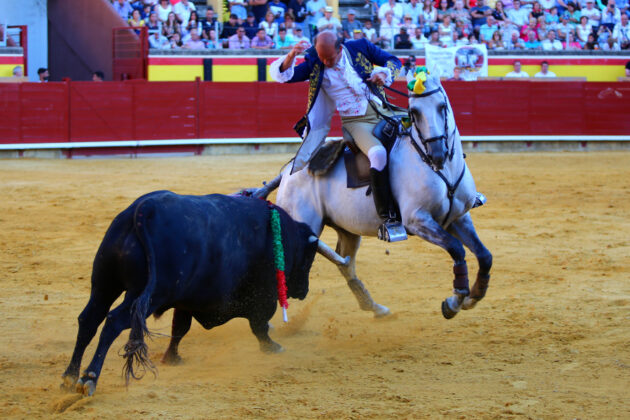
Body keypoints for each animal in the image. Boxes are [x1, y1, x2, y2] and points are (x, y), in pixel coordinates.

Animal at [61, 192, 320, 396]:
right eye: (309, 258)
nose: (303, 290)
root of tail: (143, 209)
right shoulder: (264, 296)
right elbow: (259, 326)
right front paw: (272, 347)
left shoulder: (185, 301)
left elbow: (179, 328)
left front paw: (172, 358)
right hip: (147, 295)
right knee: (113, 321)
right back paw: (89, 378)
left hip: (104, 284)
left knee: (89, 319)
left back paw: (70, 376)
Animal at [254, 72, 492, 318]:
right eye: (414, 112)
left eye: (442, 106)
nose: (437, 154)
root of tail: (287, 172)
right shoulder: (418, 220)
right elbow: (457, 249)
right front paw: (453, 302)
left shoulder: (458, 217)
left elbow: (484, 255)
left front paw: (473, 296)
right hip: (304, 222)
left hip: (347, 230)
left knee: (345, 264)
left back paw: (373, 306)